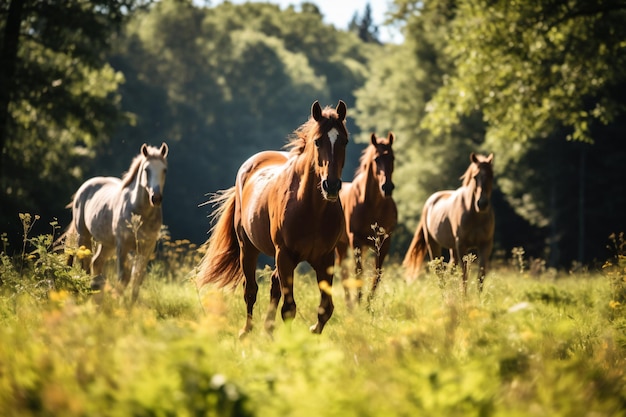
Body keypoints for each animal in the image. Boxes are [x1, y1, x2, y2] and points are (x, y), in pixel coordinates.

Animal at [63, 141, 168, 300]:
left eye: (164, 170)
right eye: (146, 169)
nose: (155, 198)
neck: (139, 213)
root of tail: (83, 189)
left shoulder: (146, 247)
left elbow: (137, 277)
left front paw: (130, 304)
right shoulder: (122, 246)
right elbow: (123, 277)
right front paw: (118, 301)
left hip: (107, 244)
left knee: (96, 262)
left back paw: (96, 292)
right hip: (84, 236)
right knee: (85, 263)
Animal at [197, 100, 348, 334]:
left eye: (345, 142)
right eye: (317, 141)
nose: (330, 186)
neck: (311, 209)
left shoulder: (325, 258)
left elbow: (326, 308)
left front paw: (313, 331)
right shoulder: (284, 254)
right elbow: (289, 308)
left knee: (274, 284)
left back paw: (267, 329)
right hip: (248, 248)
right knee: (250, 290)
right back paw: (246, 331)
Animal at [336, 132, 394, 308]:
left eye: (393, 158)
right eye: (376, 159)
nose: (387, 187)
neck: (372, 204)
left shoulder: (384, 242)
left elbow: (377, 273)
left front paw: (368, 304)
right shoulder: (355, 240)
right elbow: (358, 272)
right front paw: (359, 302)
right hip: (341, 245)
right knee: (343, 270)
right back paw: (349, 304)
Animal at [402, 151, 494, 290]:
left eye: (491, 175)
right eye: (475, 177)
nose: (482, 203)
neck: (475, 215)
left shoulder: (485, 245)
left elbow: (480, 277)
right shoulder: (461, 245)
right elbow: (464, 276)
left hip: (453, 248)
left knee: (449, 269)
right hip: (433, 244)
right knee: (439, 271)